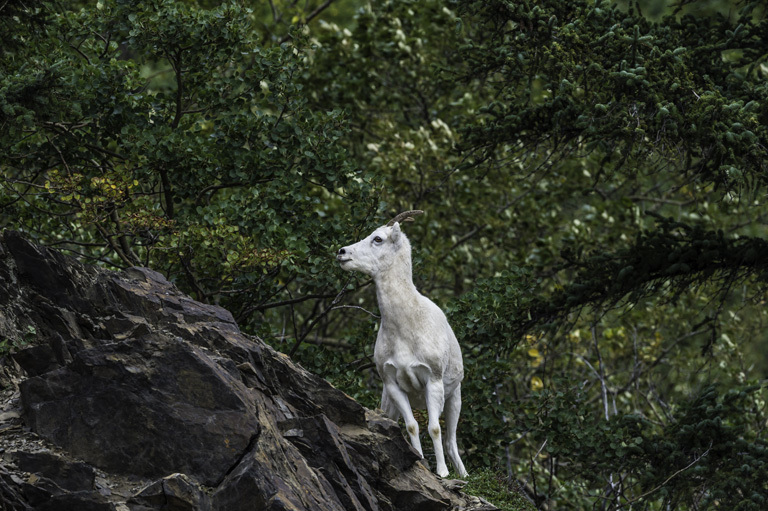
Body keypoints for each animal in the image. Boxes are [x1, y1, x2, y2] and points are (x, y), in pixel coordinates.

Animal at [338, 210, 468, 478]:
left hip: (454, 398)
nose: (342, 252)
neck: (405, 330)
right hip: (388, 401)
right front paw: (421, 462)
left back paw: (464, 476)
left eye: (377, 238)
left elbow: (434, 429)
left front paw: (442, 473)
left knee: (451, 440)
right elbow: (411, 426)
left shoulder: (433, 382)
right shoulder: (393, 384)